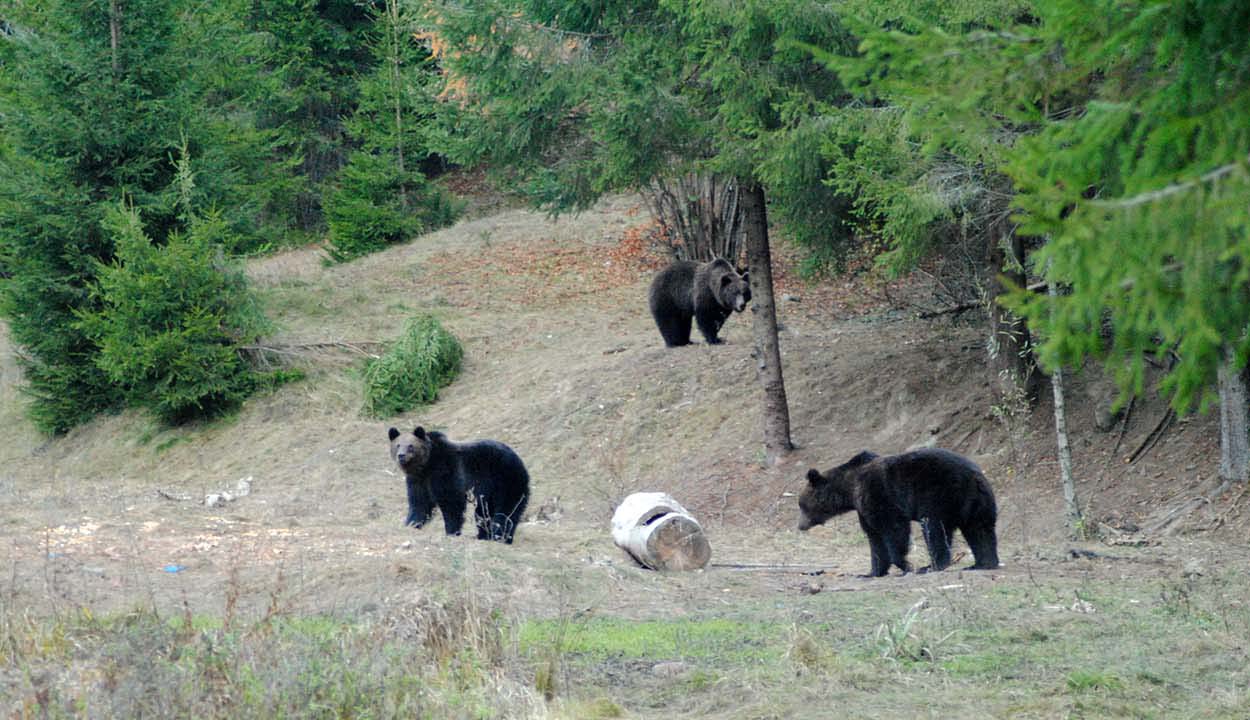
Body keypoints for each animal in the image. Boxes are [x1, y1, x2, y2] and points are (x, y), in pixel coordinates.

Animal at [387, 425, 530, 542]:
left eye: (410, 445)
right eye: (398, 445)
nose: (401, 455)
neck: (426, 465)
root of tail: (520, 460)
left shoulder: (445, 472)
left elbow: (451, 503)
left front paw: (451, 532)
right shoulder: (417, 480)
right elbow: (419, 503)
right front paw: (411, 524)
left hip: (506, 480)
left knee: (506, 510)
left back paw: (500, 537)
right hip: (489, 492)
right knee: (484, 512)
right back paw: (483, 536)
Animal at [795, 447, 1000, 577]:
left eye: (801, 505)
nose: (800, 526)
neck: (850, 489)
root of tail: (975, 476)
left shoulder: (880, 495)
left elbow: (894, 531)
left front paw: (906, 565)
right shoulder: (864, 509)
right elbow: (874, 538)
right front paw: (871, 572)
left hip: (940, 496)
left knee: (934, 530)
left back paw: (931, 566)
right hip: (978, 504)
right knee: (980, 531)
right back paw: (982, 564)